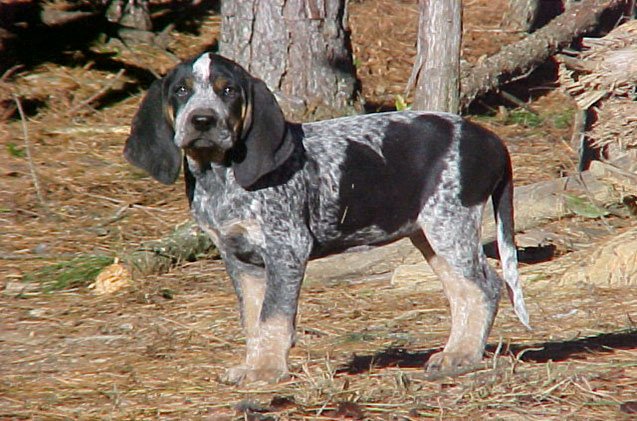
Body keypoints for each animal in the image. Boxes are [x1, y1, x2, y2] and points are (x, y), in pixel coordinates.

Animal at [123, 52, 528, 384]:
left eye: (229, 91)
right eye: (181, 90)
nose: (202, 120)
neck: (219, 176)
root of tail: (492, 140)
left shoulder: (286, 249)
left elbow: (273, 317)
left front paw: (267, 370)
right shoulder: (239, 258)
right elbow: (253, 320)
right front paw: (253, 364)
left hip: (450, 225)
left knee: (487, 286)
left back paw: (465, 356)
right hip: (430, 234)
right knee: (463, 293)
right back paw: (454, 353)